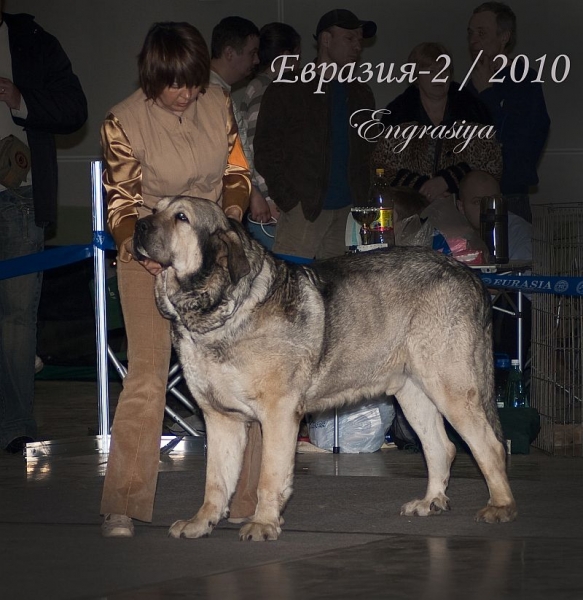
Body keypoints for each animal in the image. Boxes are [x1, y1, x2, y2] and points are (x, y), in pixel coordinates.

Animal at [132, 196, 516, 540]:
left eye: (181, 217)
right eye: (154, 209)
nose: (138, 226)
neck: (219, 313)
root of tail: (469, 276)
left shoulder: (278, 414)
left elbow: (269, 476)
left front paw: (263, 524)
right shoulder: (221, 419)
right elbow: (215, 481)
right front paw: (201, 523)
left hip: (451, 387)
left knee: (489, 446)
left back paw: (500, 506)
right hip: (413, 394)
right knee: (441, 447)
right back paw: (431, 501)